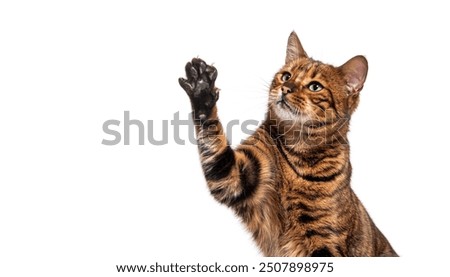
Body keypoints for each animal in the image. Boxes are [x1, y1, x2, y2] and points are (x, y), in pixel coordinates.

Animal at [178, 31, 398, 256]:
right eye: (286, 76)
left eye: (315, 86)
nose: (286, 88)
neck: (297, 149)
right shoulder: (236, 175)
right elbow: (213, 138)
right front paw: (202, 90)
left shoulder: (324, 237)